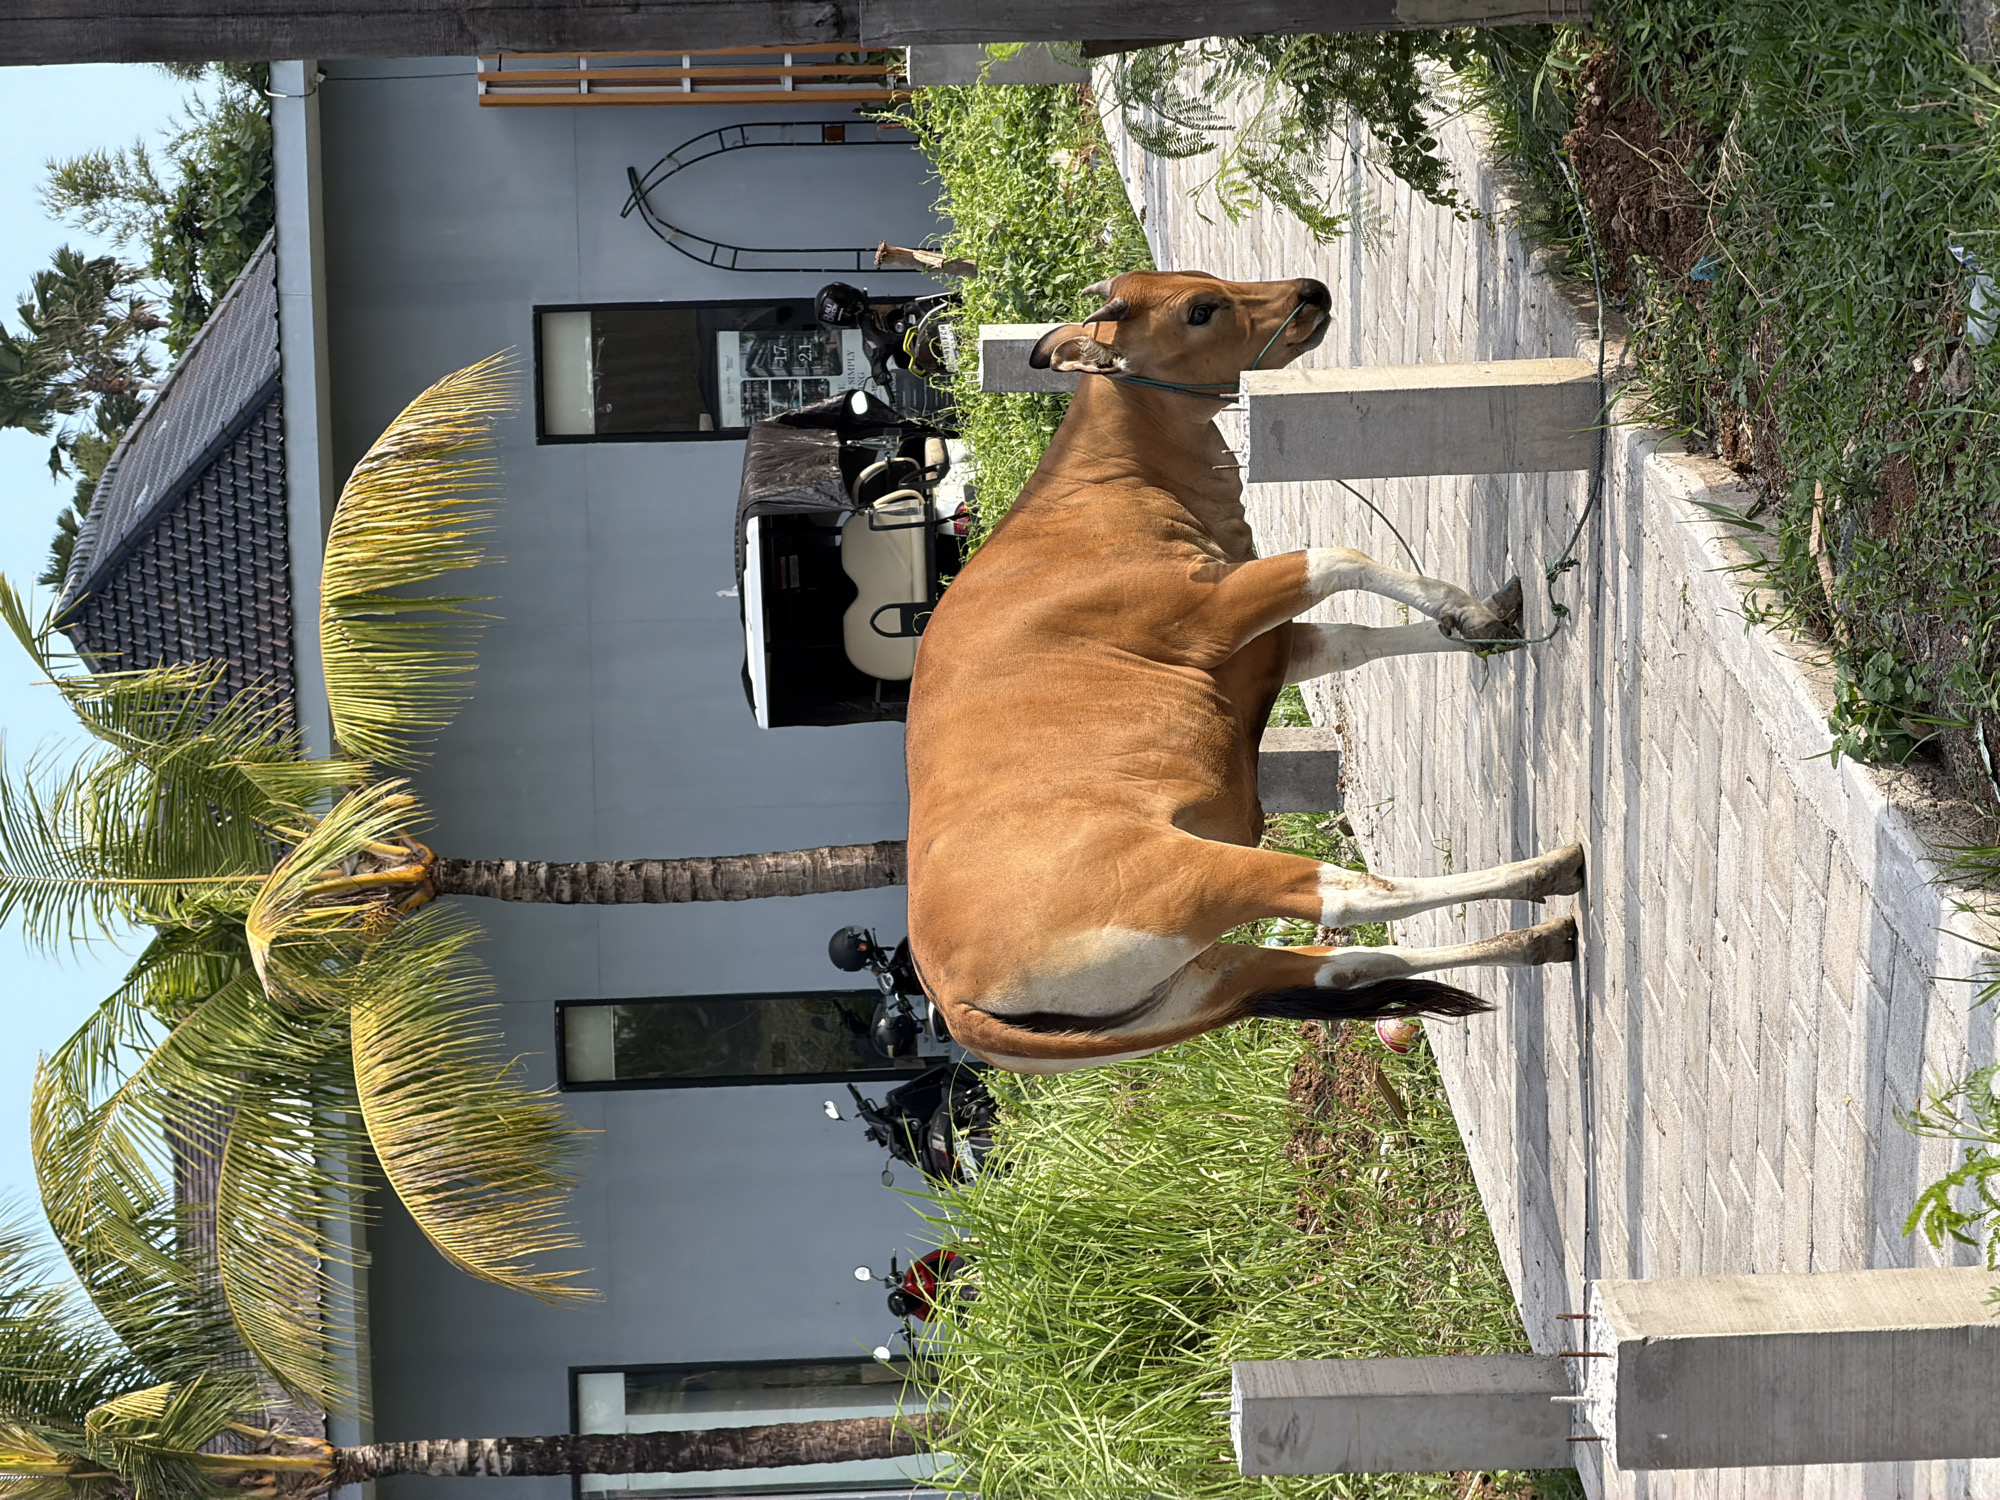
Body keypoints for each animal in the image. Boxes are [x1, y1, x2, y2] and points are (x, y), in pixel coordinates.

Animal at [905, 269, 1583, 1074]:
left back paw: (1539, 939)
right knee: (1352, 897)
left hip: (1206, 978)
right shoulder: (1215, 617)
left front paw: (1487, 622)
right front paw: (1469, 607)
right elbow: (1339, 557)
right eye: (1198, 310)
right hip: (1203, 880)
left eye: (1204, 282)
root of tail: (955, 1005)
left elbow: (1359, 638)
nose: (1312, 291)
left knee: (1345, 964)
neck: (1103, 492)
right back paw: (1549, 872)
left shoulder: (1267, 646)